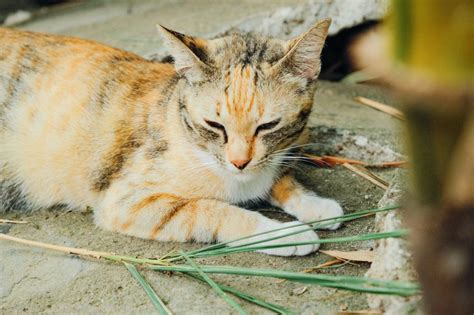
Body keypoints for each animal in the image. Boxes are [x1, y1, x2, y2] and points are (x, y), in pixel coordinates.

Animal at [0, 18, 342, 256]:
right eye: (214, 125)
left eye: (268, 126)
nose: (239, 162)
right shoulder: (126, 202)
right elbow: (215, 210)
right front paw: (287, 234)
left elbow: (281, 180)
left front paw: (316, 205)